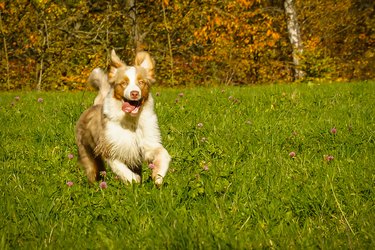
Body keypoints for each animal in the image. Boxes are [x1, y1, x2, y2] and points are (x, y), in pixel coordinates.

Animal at [76, 49, 172, 187]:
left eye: (141, 82)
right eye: (124, 83)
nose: (134, 93)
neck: (131, 121)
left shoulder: (147, 144)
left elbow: (163, 154)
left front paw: (158, 176)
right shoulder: (111, 148)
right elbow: (121, 168)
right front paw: (133, 179)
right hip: (87, 153)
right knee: (93, 171)